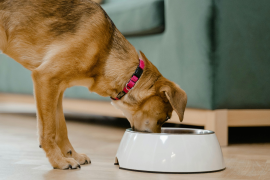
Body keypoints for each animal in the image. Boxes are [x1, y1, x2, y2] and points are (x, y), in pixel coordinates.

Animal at [0, 0, 186, 169]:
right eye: (167, 117)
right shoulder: (45, 78)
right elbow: (49, 130)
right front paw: (59, 161)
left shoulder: (57, 89)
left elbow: (61, 128)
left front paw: (71, 155)